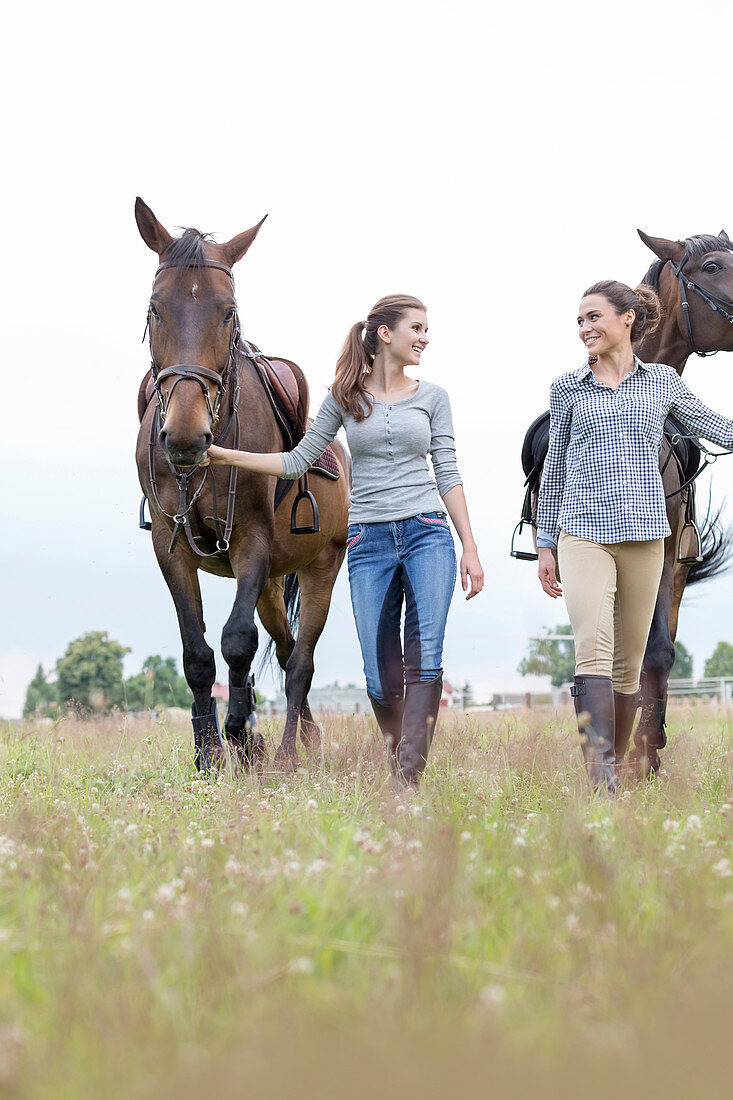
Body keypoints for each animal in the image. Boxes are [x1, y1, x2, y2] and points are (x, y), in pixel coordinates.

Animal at [134, 198, 352, 770]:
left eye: (228, 311)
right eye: (155, 308)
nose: (185, 436)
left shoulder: (252, 541)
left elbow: (236, 642)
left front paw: (241, 737)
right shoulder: (170, 545)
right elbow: (197, 655)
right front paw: (209, 753)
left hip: (322, 567)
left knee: (300, 662)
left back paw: (288, 751)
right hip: (273, 586)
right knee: (286, 645)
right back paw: (300, 738)